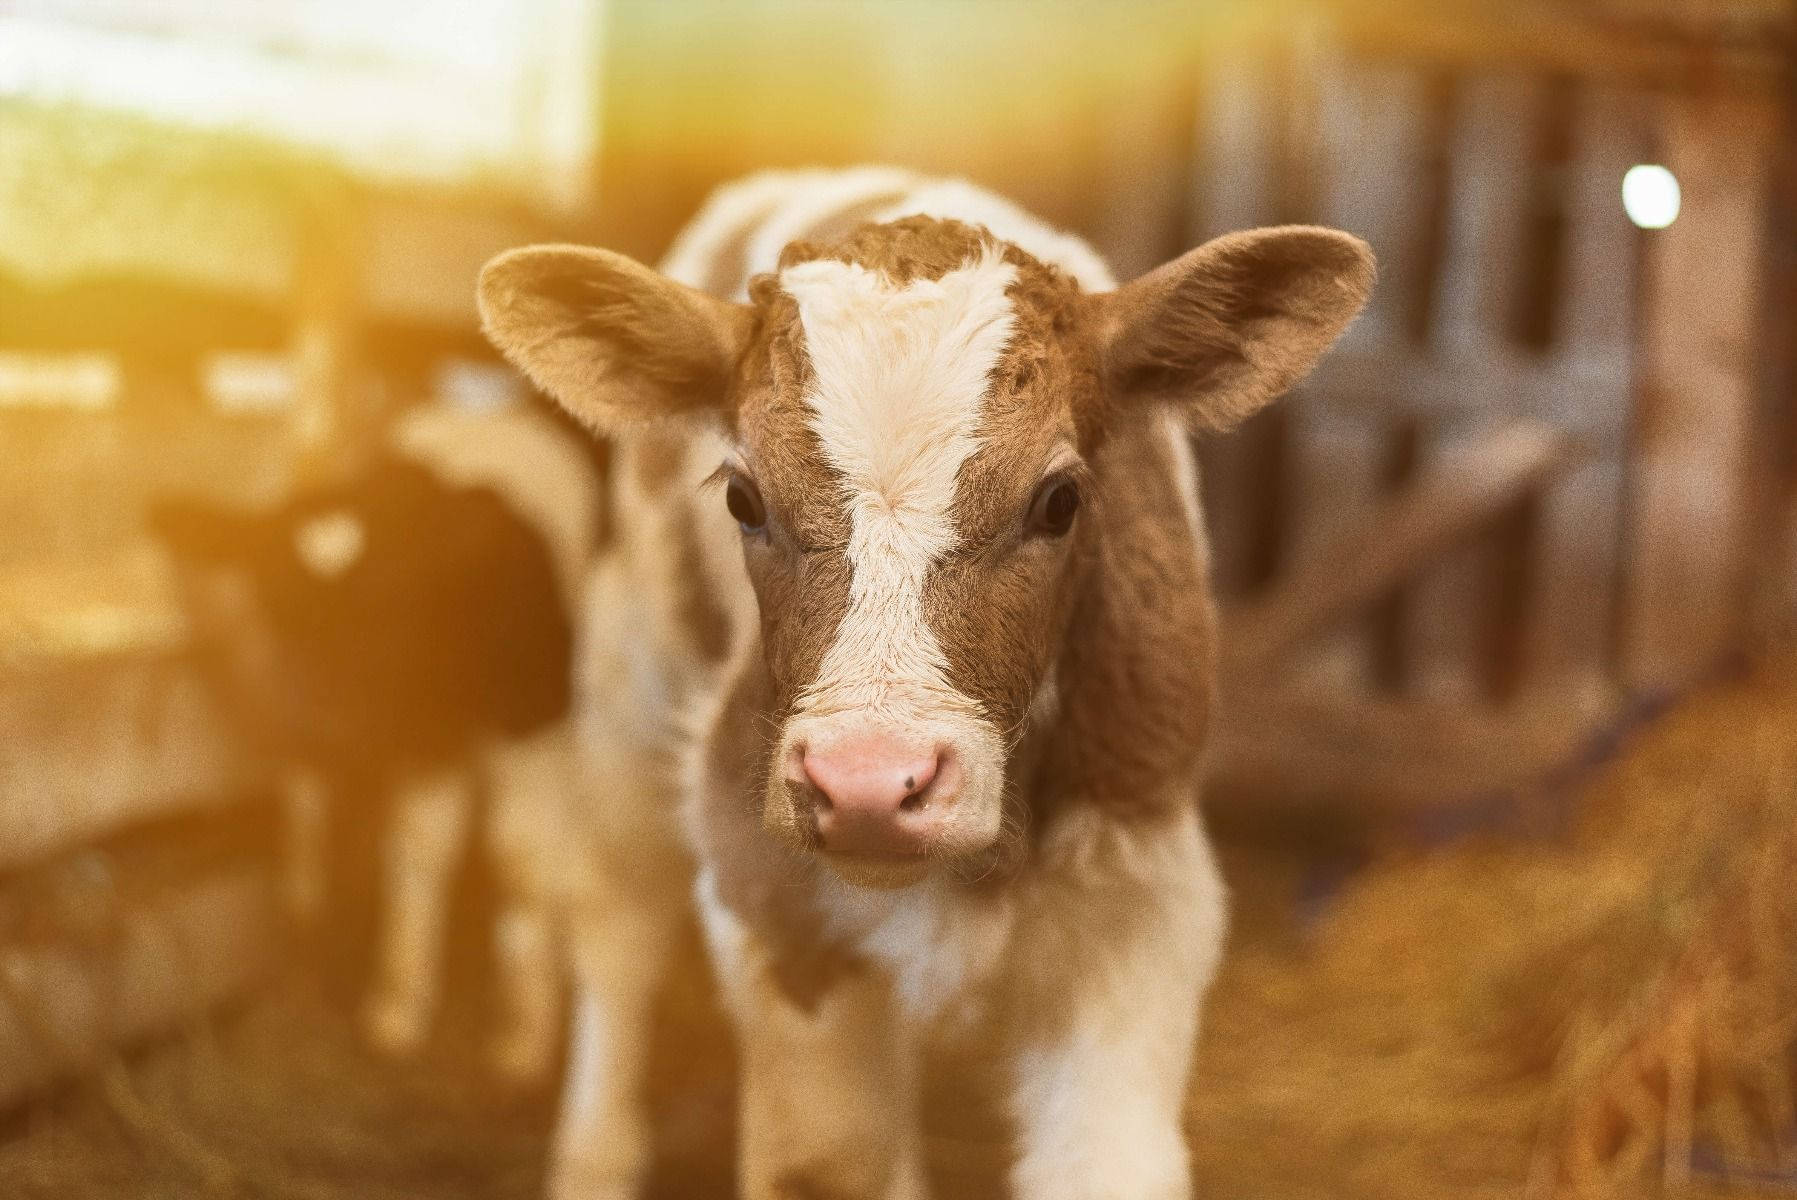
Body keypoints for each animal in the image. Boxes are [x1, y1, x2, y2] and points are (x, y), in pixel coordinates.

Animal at [149, 402, 598, 1083]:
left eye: (396, 606)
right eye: (279, 609)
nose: (318, 732)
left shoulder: (540, 729)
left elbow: (519, 860)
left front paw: (525, 1042)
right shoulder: (419, 745)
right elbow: (414, 852)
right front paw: (397, 1010)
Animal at [480, 166, 1374, 1200]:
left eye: (1060, 500)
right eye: (742, 497)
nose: (868, 783)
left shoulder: (1141, 907)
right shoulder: (773, 908)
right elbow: (826, 1161)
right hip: (630, 683)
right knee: (616, 919)